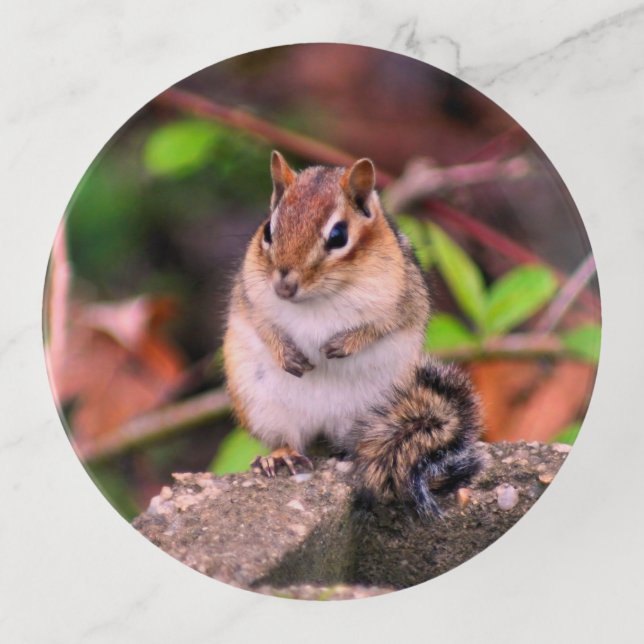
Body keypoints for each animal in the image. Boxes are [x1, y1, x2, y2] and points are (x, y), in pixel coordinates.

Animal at [223, 151, 482, 516]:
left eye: (338, 236)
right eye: (268, 230)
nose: (284, 286)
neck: (318, 299)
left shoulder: (404, 300)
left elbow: (383, 324)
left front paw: (343, 344)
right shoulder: (249, 295)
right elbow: (262, 323)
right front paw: (286, 353)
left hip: (379, 407)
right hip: (262, 405)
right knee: (287, 438)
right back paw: (281, 457)